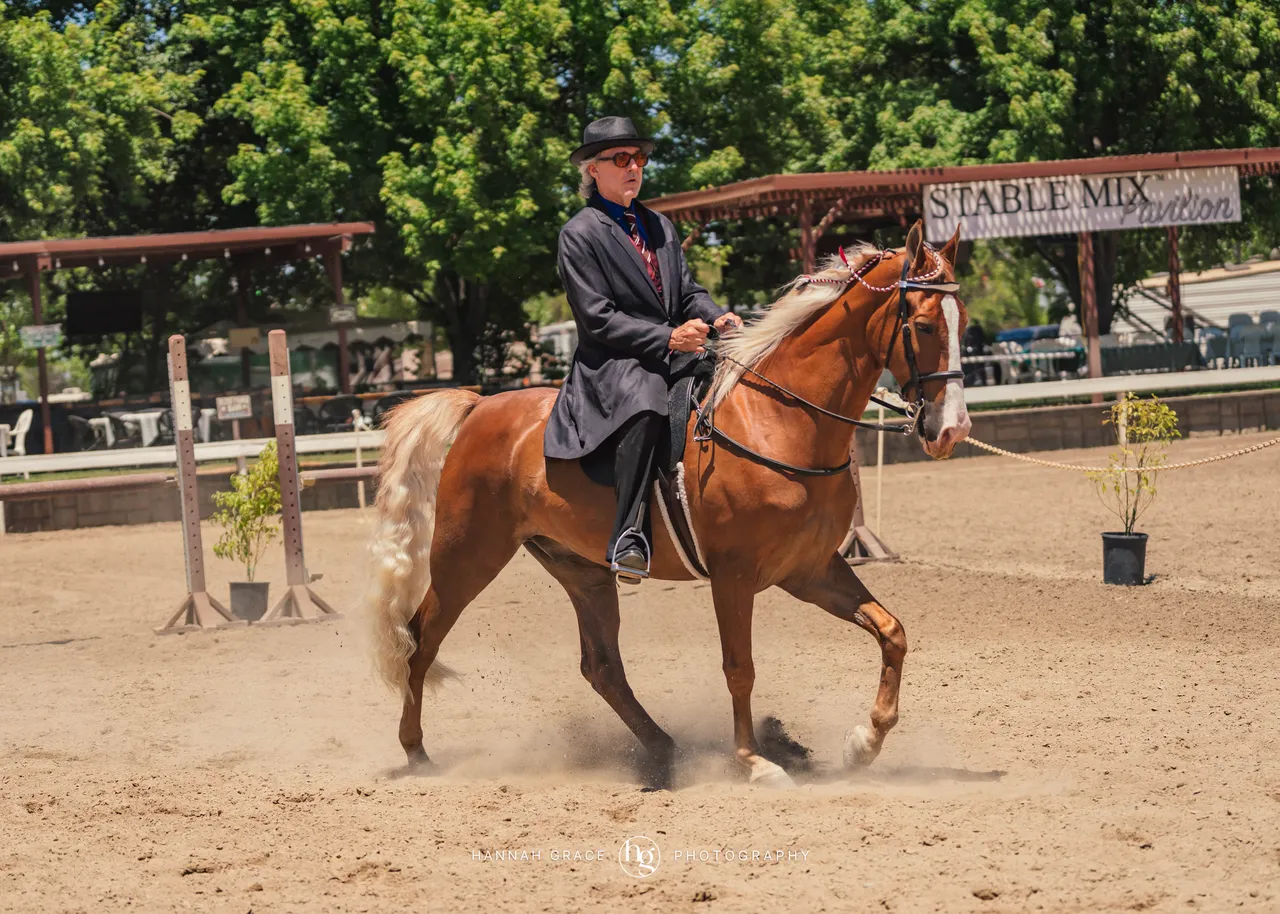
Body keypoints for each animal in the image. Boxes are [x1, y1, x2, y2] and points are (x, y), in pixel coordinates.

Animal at [367, 220, 970, 788]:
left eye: (961, 319)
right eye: (922, 325)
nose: (951, 430)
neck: (780, 421)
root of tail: (480, 406)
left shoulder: (810, 568)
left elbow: (891, 631)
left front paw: (864, 743)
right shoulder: (734, 576)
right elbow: (739, 668)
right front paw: (754, 763)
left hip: (582, 571)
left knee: (602, 667)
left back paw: (665, 750)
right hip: (466, 558)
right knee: (420, 641)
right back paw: (416, 752)